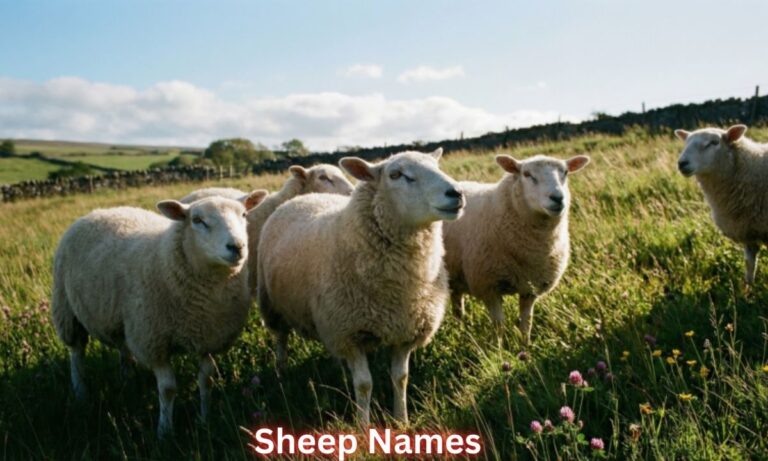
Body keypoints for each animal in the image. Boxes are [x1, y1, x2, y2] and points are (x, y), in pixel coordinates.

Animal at [51, 195, 264, 438]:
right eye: (197, 220)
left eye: (244, 214)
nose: (237, 247)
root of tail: (96, 211)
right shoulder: (153, 342)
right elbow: (168, 389)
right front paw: (164, 431)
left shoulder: (207, 337)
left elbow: (206, 380)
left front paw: (204, 419)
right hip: (67, 310)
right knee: (77, 354)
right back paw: (81, 394)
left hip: (126, 321)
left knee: (124, 350)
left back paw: (127, 380)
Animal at [257, 148, 464, 425]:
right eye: (396, 175)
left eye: (437, 166)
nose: (456, 193)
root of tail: (306, 196)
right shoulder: (349, 332)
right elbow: (364, 385)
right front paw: (362, 426)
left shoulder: (406, 330)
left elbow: (400, 378)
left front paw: (402, 420)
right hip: (272, 306)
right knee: (280, 339)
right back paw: (281, 374)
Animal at [443, 154, 590, 344]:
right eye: (527, 174)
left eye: (565, 172)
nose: (558, 198)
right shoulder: (489, 286)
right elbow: (499, 325)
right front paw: (499, 347)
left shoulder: (530, 288)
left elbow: (527, 322)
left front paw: (525, 345)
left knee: (457, 303)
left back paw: (460, 328)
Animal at [675, 124, 768, 285]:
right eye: (686, 142)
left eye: (714, 142)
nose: (682, 163)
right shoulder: (748, 230)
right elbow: (749, 265)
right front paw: (748, 289)